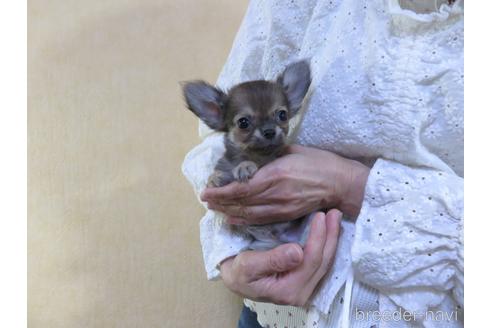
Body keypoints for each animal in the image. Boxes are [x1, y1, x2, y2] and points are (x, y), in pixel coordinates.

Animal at [183, 60, 314, 250]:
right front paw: (215, 178)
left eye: (282, 115)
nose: (269, 131)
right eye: (243, 122)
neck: (255, 155)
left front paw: (244, 167)